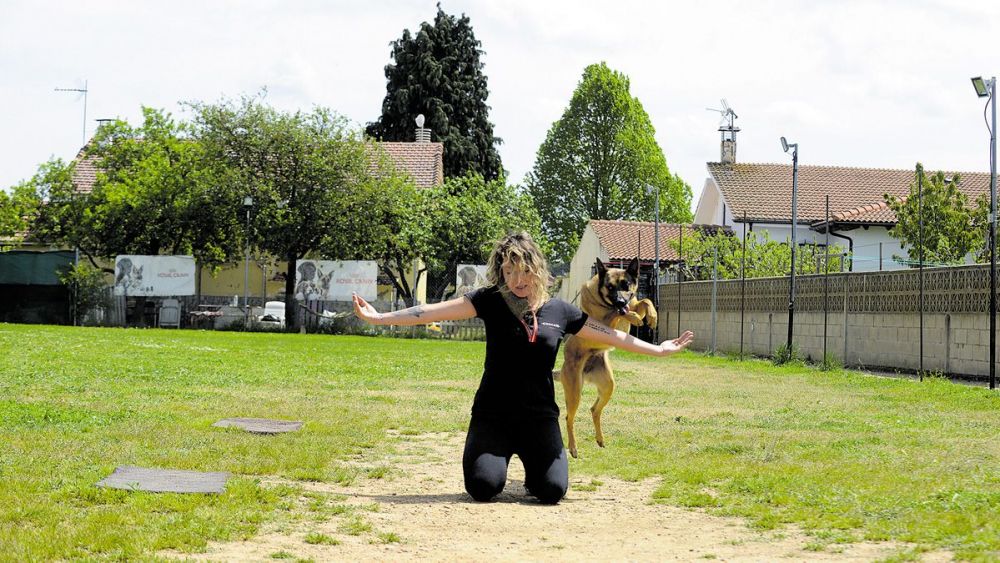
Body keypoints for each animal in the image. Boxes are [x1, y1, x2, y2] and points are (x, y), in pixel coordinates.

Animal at [558, 257, 657, 458]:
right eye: (610, 287)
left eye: (626, 284)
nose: (620, 301)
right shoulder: (603, 322)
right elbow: (617, 313)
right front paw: (634, 317)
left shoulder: (632, 302)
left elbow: (644, 300)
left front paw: (651, 316)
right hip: (574, 392)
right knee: (568, 417)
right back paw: (573, 447)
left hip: (608, 386)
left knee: (594, 410)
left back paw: (600, 439)